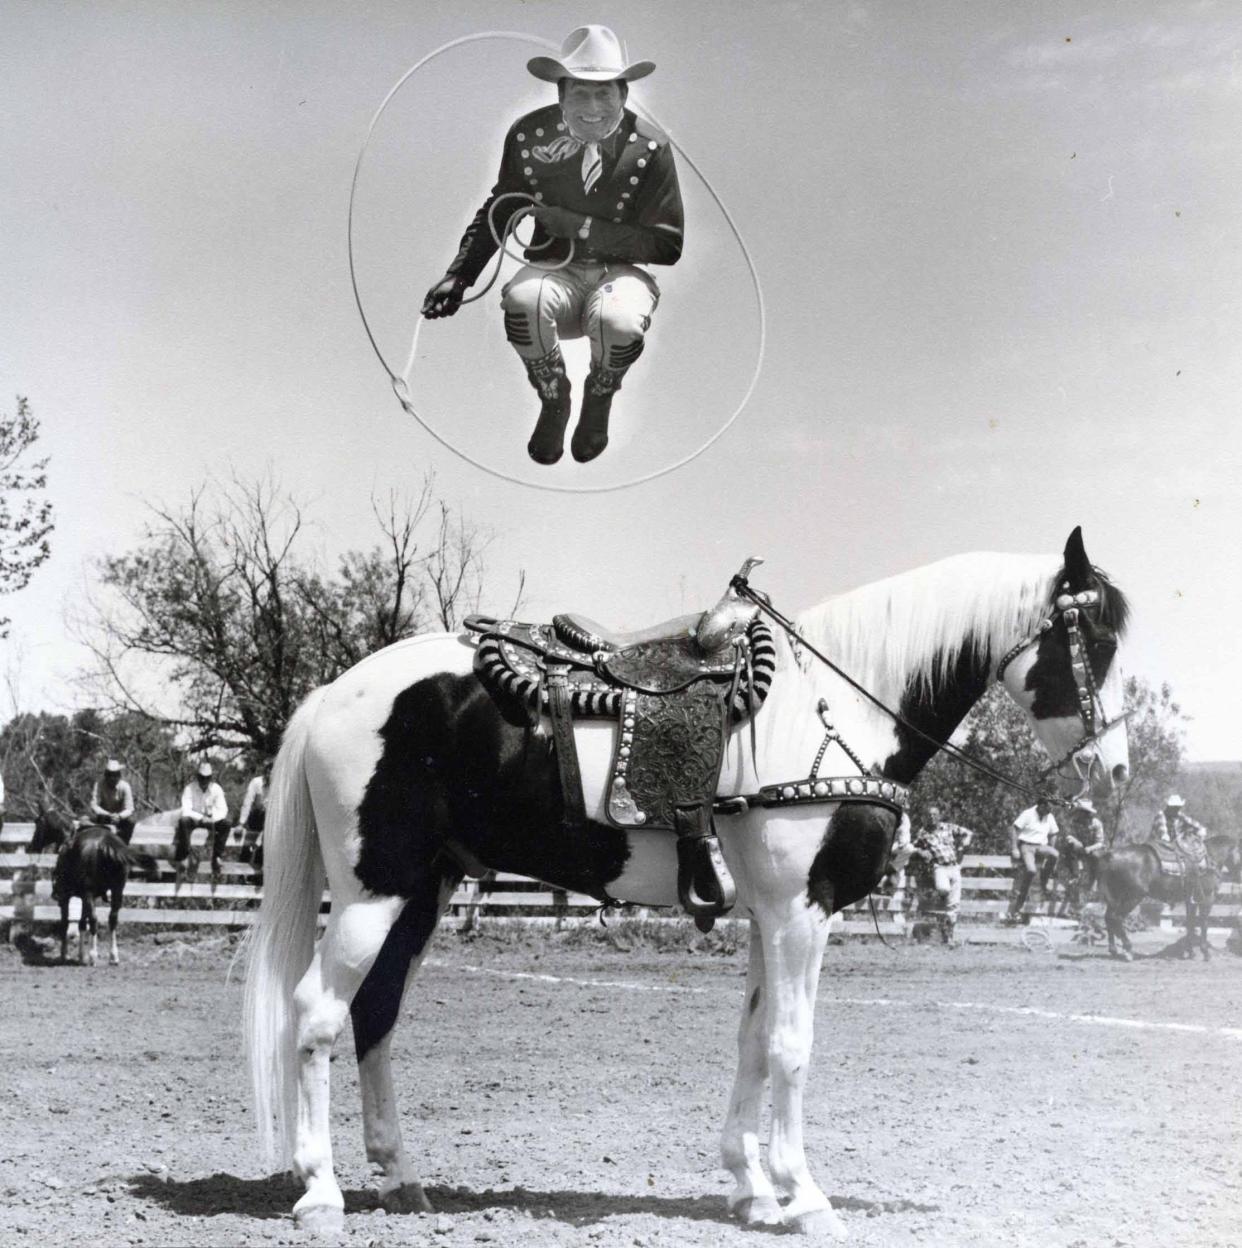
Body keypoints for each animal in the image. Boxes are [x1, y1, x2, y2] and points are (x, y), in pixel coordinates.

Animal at [51, 828, 159, 963]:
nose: (54, 894)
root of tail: (105, 841)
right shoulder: (85, 898)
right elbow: (82, 923)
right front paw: (80, 955)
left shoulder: (68, 897)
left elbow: (66, 923)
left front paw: (65, 954)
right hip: (117, 891)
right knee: (112, 919)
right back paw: (113, 956)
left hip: (88, 894)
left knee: (93, 920)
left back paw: (93, 955)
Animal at [243, 526, 1128, 1238]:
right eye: (1095, 637)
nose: (1114, 774)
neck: (834, 708)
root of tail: (334, 694)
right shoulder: (802, 913)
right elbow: (792, 1046)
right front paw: (805, 1197)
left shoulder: (771, 916)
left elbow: (753, 1040)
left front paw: (752, 1189)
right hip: (374, 893)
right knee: (317, 1013)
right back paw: (321, 1192)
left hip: (423, 893)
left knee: (376, 1013)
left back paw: (400, 1178)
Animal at [1103, 838, 1238, 963]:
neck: (1210, 859)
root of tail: (1112, 855)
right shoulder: (1207, 899)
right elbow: (1204, 924)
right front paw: (1205, 953)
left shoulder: (1191, 901)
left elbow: (1190, 923)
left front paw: (1190, 953)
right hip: (1132, 897)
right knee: (1116, 918)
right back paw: (1128, 950)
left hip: (1116, 898)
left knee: (1109, 917)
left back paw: (1113, 950)